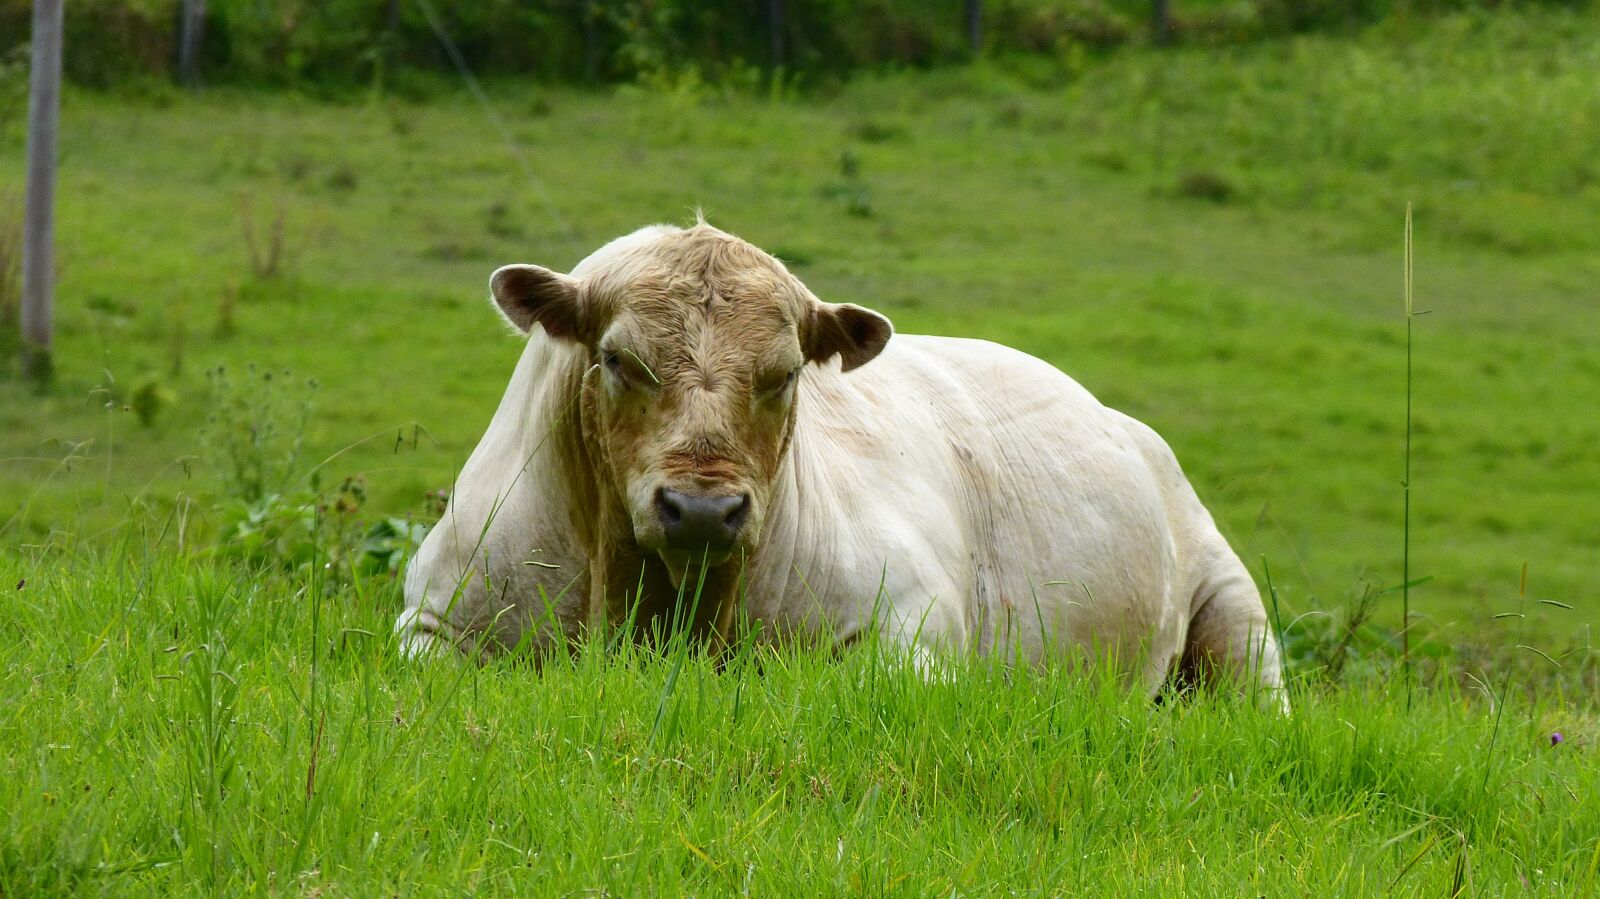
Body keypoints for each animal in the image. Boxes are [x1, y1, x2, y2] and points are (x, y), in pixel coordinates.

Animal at [396, 221, 1285, 704]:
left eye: (786, 372)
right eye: (618, 359)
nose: (704, 509)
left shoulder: (909, 625)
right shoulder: (433, 620)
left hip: (1234, 609)